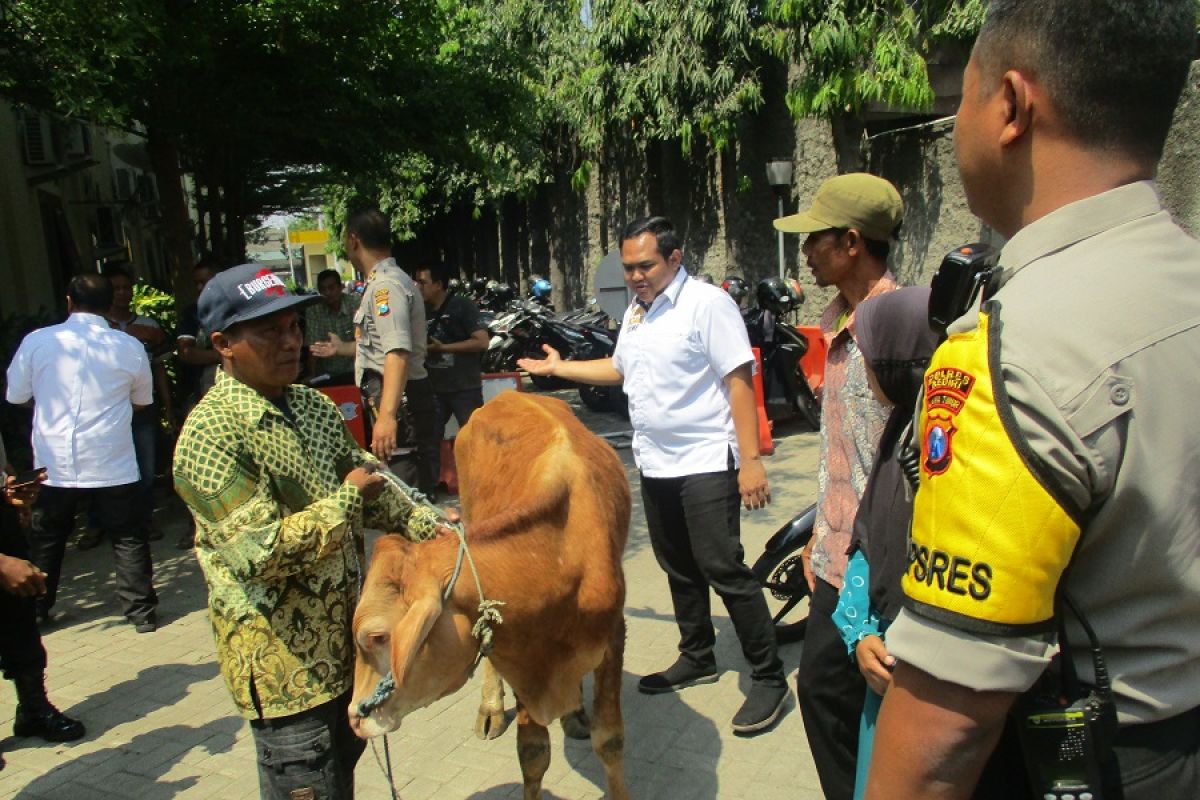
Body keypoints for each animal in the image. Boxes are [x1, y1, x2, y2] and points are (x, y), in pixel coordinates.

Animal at [350, 393, 633, 800]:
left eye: (376, 637)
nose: (354, 718)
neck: (557, 550)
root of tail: (508, 395)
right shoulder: (520, 654)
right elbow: (533, 752)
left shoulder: (611, 636)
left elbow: (609, 739)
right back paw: (491, 708)